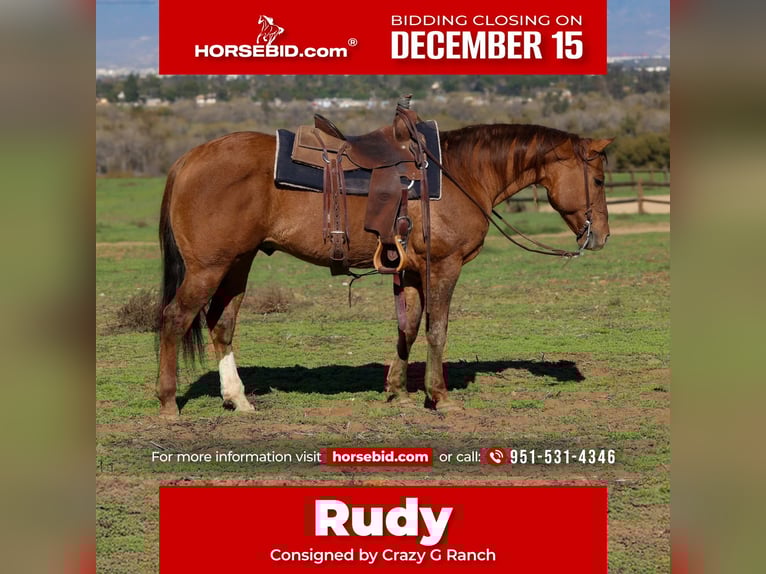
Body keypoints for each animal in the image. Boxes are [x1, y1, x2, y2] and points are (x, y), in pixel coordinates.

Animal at [156, 117, 612, 418]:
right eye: (600, 180)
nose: (601, 236)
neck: (461, 174)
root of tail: (186, 161)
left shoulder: (409, 271)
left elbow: (406, 328)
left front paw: (398, 391)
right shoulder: (443, 267)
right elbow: (436, 329)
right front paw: (439, 397)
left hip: (237, 264)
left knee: (221, 324)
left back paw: (238, 398)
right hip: (208, 268)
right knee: (175, 319)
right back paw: (168, 402)